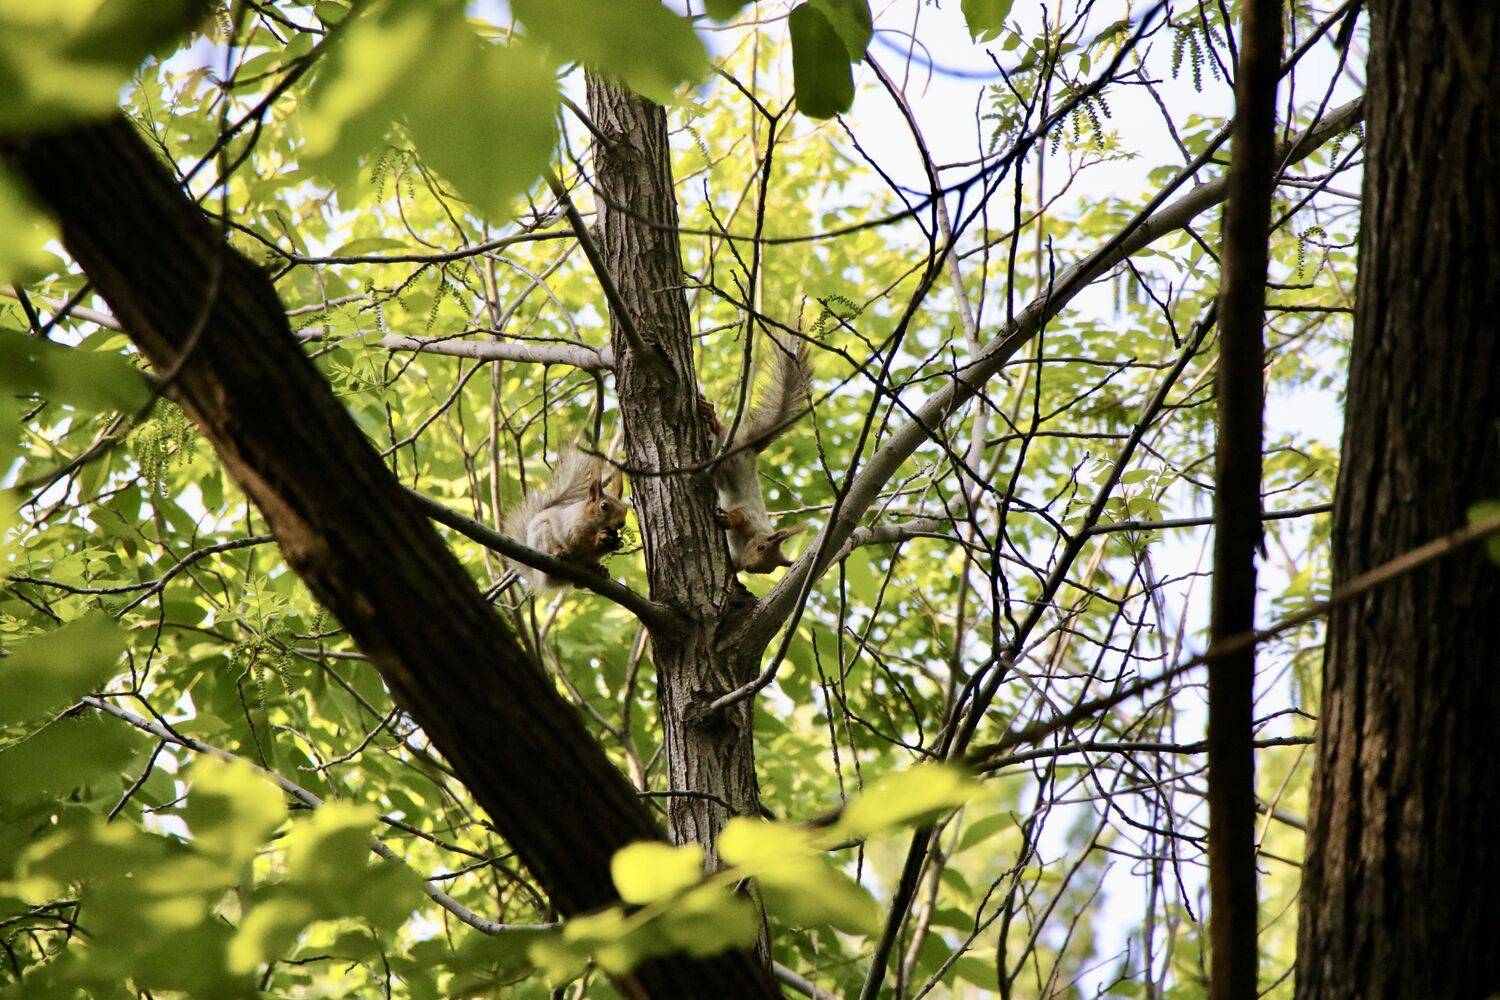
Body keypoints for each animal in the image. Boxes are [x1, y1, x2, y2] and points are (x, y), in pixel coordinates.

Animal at [504, 447, 628, 591]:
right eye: (604, 506)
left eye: (625, 509)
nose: (621, 523)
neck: (594, 524)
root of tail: (538, 578)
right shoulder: (571, 526)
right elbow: (578, 539)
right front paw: (600, 538)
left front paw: (618, 543)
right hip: (543, 534)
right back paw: (559, 552)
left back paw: (599, 569)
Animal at [698, 332, 812, 573]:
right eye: (761, 548)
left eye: (768, 570)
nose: (749, 567)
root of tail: (750, 447)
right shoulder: (749, 514)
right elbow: (739, 516)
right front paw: (728, 521)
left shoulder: (738, 558)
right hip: (728, 454)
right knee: (721, 431)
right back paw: (711, 416)